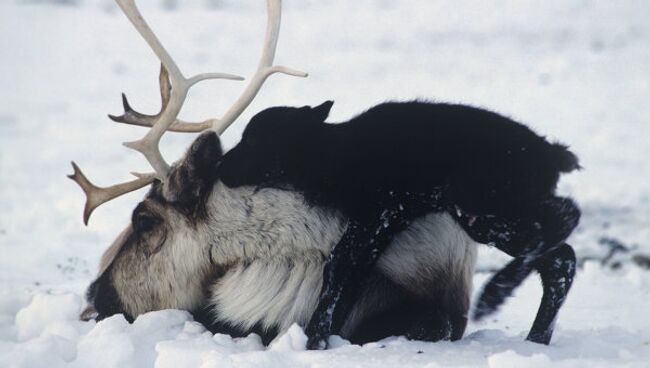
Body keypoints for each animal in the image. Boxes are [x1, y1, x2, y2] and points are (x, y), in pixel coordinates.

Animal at [218, 100, 576, 348]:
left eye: (252, 141)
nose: (219, 165)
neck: (333, 155)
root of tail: (553, 154)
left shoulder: (377, 215)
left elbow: (338, 267)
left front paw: (315, 340)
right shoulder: (379, 228)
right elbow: (349, 275)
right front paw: (329, 337)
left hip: (487, 211)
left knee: (566, 221)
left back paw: (495, 294)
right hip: (491, 216)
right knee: (560, 258)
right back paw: (534, 336)